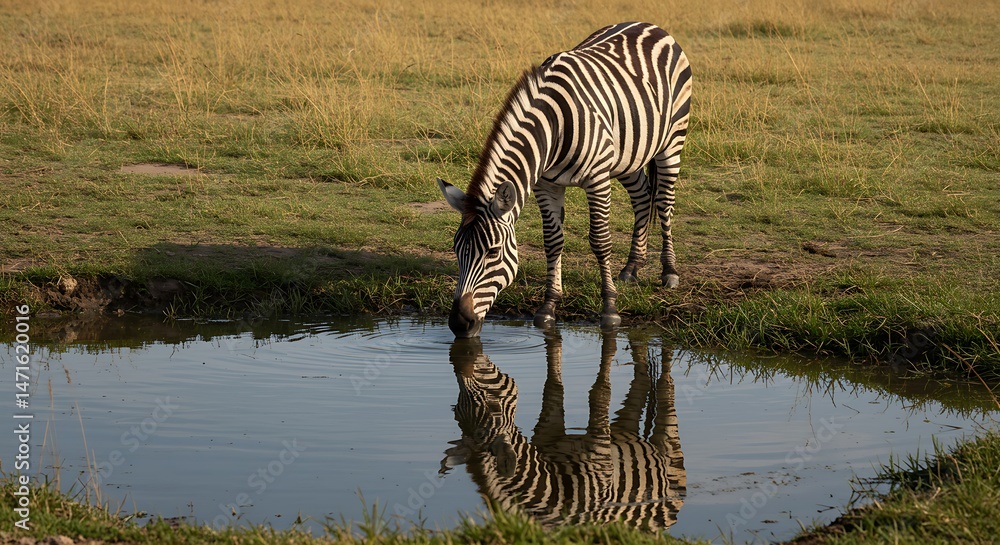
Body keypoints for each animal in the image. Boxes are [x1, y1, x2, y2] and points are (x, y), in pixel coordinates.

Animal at [438, 22, 692, 338]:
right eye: (455, 249)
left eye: (493, 253)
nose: (459, 324)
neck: (553, 127)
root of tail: (651, 25)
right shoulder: (546, 184)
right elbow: (553, 241)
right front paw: (549, 307)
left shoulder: (597, 178)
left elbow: (600, 241)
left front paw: (609, 309)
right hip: (628, 155)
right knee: (643, 197)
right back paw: (632, 267)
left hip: (672, 140)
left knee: (665, 203)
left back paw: (669, 272)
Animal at [442, 330, 686, 531]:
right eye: (455, 411)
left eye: (493, 406)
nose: (467, 352)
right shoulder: (548, 432)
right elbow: (553, 388)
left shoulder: (600, 457)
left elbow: (599, 393)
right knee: (640, 385)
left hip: (670, 453)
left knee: (666, 391)